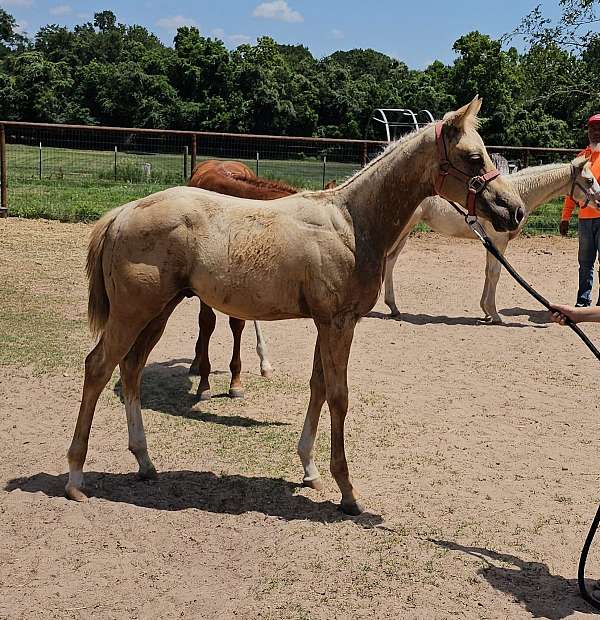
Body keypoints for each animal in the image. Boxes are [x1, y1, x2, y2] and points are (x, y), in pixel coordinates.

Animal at [67, 97, 524, 512]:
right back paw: (75, 477)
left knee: (131, 370)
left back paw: (145, 462)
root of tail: (122, 213)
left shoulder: (328, 323)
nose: (515, 211)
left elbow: (318, 387)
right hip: (133, 313)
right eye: (473, 157)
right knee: (98, 367)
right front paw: (347, 491)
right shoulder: (339, 323)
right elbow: (339, 396)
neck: (352, 223)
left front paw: (310, 469)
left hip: (158, 312)